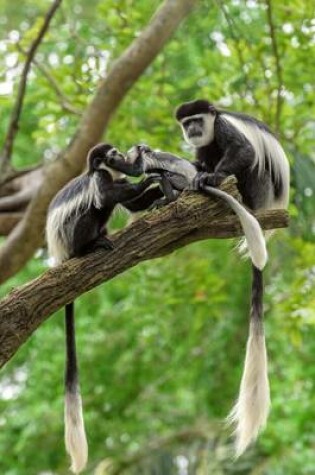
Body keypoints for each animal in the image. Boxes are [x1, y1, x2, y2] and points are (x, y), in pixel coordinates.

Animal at [45, 143, 162, 474]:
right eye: (112, 153)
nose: (121, 154)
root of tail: (60, 255)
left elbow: (128, 201)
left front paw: (155, 191)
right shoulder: (100, 178)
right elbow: (105, 196)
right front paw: (146, 181)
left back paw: (103, 235)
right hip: (73, 234)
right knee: (93, 209)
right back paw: (90, 246)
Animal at [175, 99, 292, 458]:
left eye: (197, 120)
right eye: (186, 123)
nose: (192, 130)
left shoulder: (225, 129)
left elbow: (243, 151)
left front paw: (211, 176)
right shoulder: (201, 144)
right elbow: (200, 156)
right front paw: (198, 170)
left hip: (260, 186)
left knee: (250, 163)